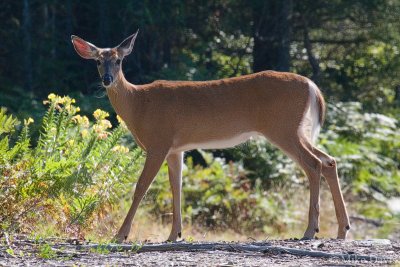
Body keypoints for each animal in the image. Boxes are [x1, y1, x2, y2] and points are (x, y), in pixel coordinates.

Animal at [72, 30, 350, 242]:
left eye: (119, 60)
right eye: (98, 61)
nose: (107, 80)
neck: (139, 104)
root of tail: (313, 88)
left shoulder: (159, 142)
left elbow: (141, 186)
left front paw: (120, 235)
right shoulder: (176, 148)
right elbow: (176, 186)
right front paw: (175, 235)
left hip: (283, 128)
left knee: (313, 164)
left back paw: (310, 231)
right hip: (296, 130)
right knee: (329, 160)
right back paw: (342, 229)